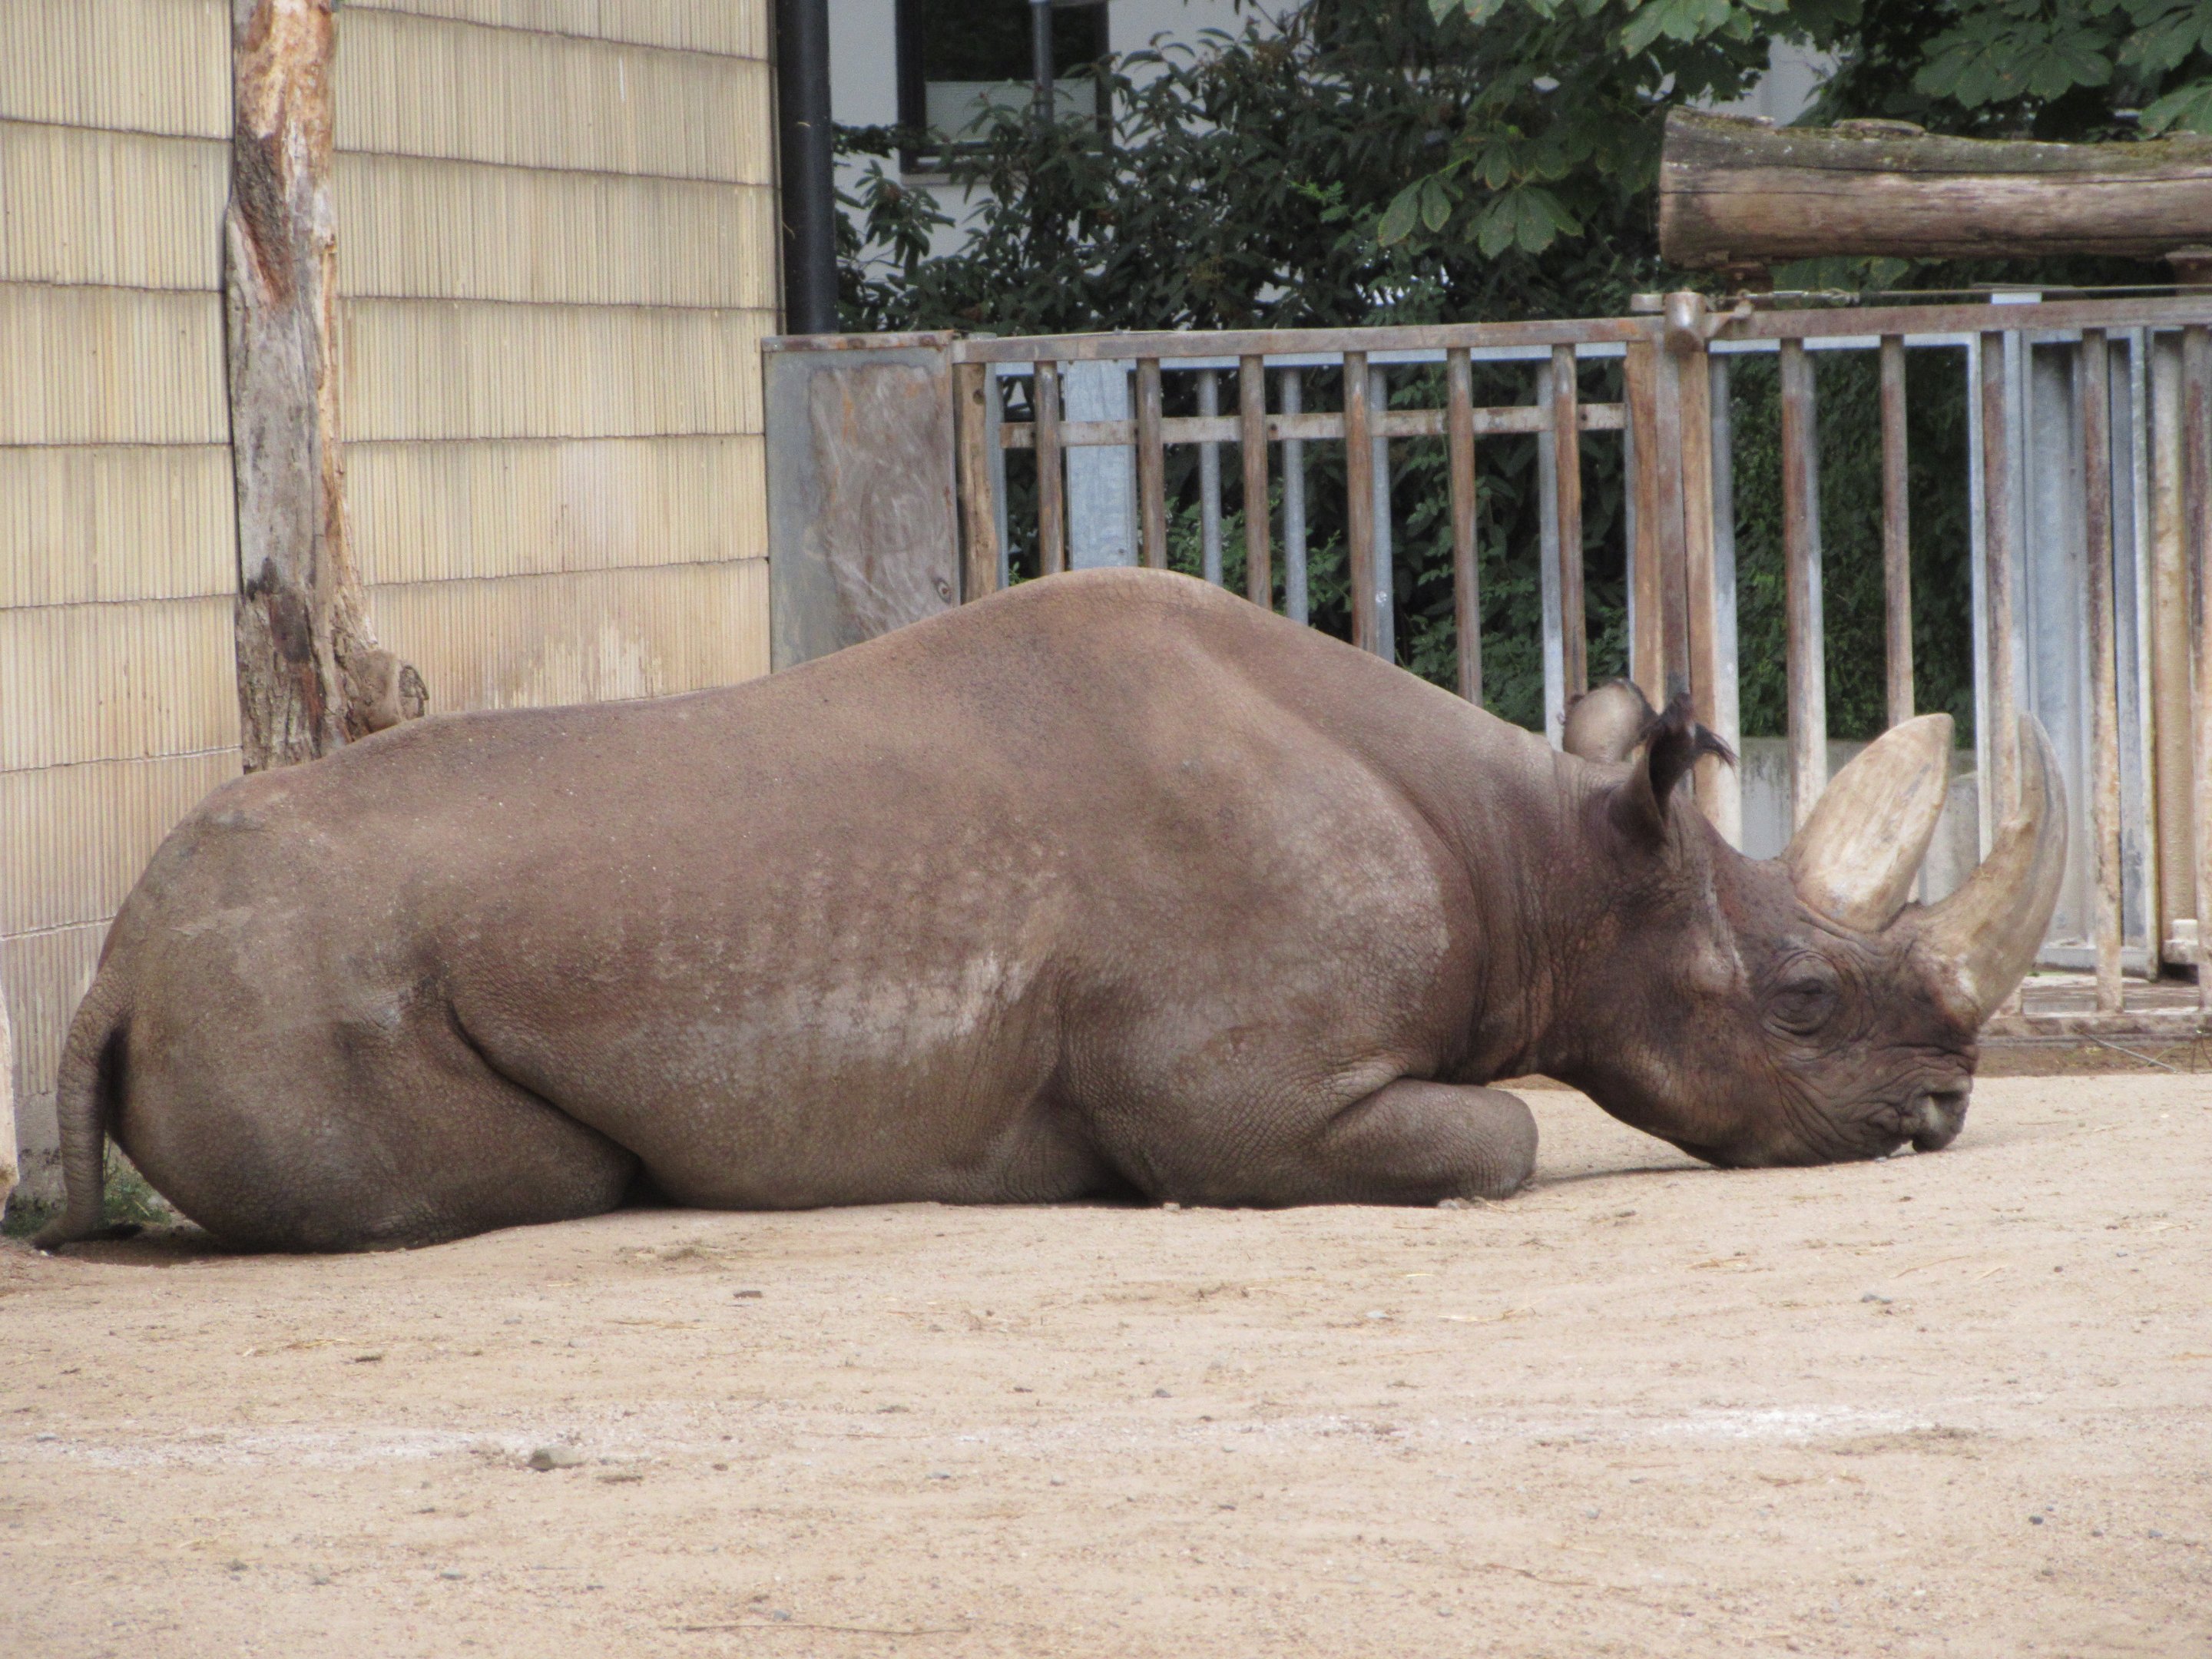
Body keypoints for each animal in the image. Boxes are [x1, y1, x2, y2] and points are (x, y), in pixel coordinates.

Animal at [36, 569, 2064, 1252]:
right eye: (1801, 997)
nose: (1941, 1113)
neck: (1544, 860)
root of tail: (110, 954)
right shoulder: (1242, 1093)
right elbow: (1495, 1139)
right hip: (286, 976)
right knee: (556, 1174)